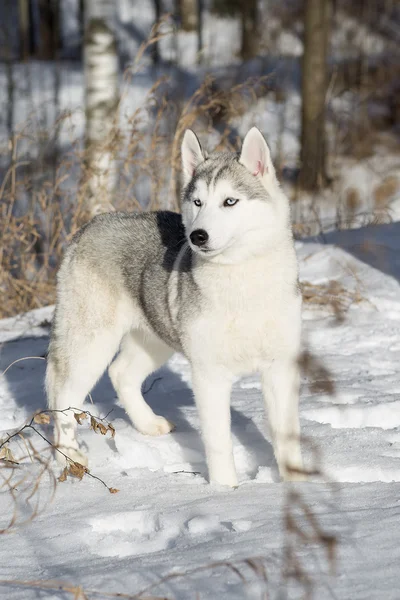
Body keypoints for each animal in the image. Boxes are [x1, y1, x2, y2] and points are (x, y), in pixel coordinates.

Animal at [46, 129, 304, 486]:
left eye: (230, 201)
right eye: (198, 202)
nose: (198, 236)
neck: (241, 282)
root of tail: (88, 227)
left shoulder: (279, 368)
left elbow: (286, 438)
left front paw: (298, 488)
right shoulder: (209, 375)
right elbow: (218, 441)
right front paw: (225, 490)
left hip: (153, 340)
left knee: (120, 373)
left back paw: (148, 424)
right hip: (91, 345)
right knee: (63, 395)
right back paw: (70, 456)